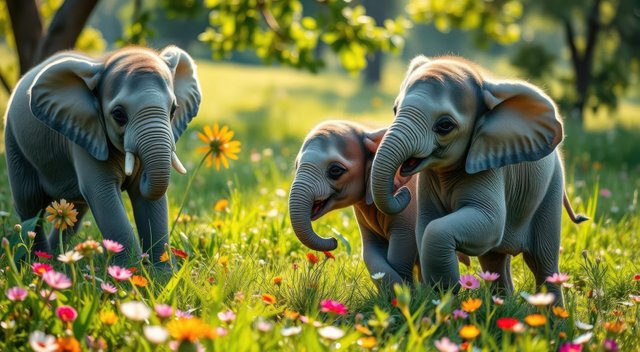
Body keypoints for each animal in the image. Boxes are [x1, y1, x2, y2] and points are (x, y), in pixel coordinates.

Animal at [3, 46, 201, 266]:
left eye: (174, 110)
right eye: (118, 115)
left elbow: (150, 202)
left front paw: (161, 275)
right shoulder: (84, 136)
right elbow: (102, 192)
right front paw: (130, 273)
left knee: (75, 209)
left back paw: (58, 260)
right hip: (14, 142)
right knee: (30, 203)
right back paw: (39, 263)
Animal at [288, 121, 470, 288]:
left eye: (335, 170)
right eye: (296, 166)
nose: (333, 240)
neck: (366, 128)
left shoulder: (408, 214)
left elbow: (401, 248)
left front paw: (405, 292)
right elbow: (370, 252)